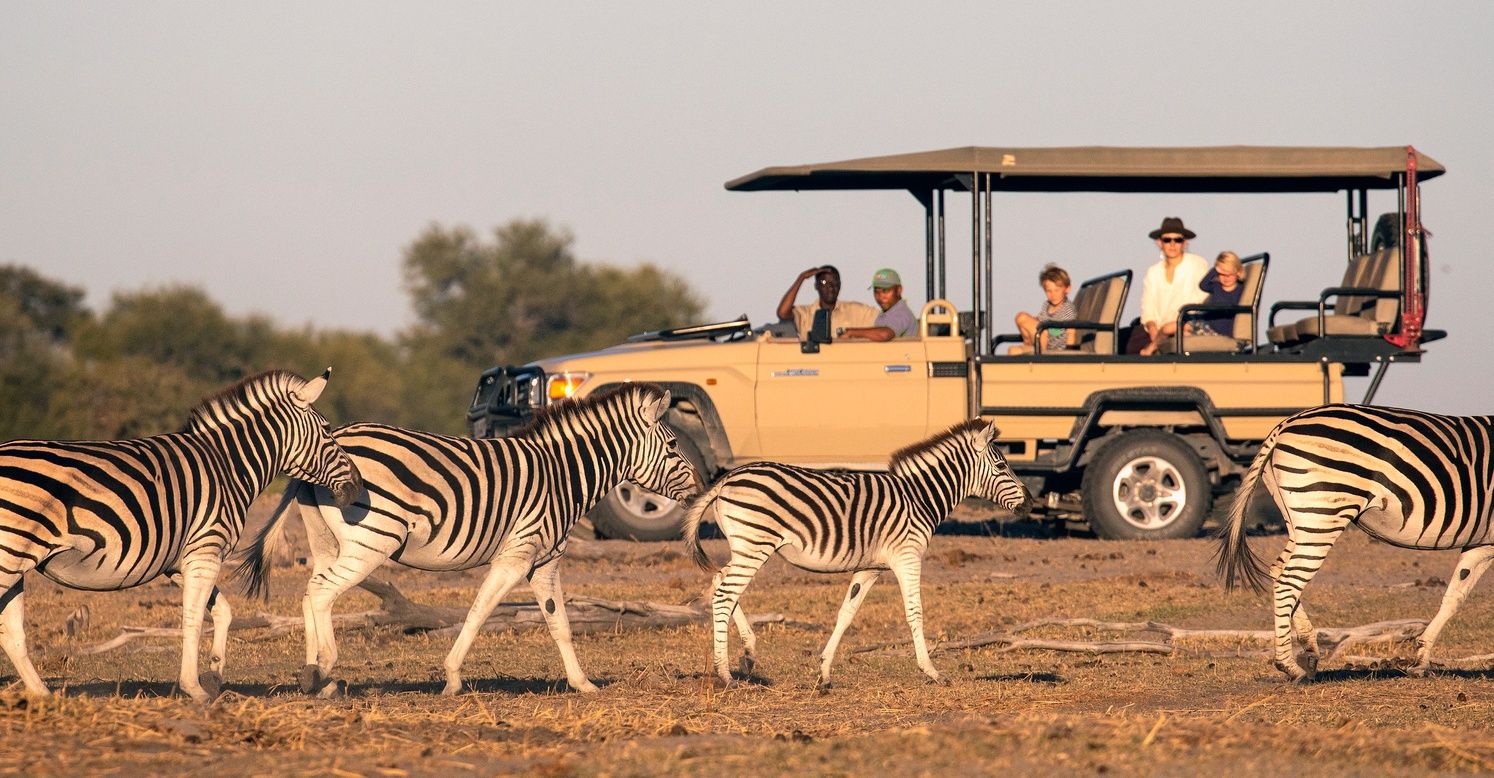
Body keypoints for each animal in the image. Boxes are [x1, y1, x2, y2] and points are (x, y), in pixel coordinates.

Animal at [0, 367, 361, 701]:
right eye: (327, 430)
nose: (357, 488)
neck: (227, 466)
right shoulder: (206, 550)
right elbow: (193, 620)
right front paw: (195, 689)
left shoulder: (182, 561)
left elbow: (222, 611)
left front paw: (214, 672)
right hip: (10, 556)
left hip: (15, 562)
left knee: (12, 633)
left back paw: (41, 694)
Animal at [233, 385, 699, 695]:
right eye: (674, 444)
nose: (699, 490)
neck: (561, 474)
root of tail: (331, 442)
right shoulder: (518, 554)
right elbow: (479, 613)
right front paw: (454, 678)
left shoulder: (544, 561)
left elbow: (560, 624)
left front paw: (582, 683)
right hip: (373, 538)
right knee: (322, 592)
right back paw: (324, 667)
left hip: (327, 542)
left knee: (311, 590)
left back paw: (315, 676)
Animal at [684, 418, 1027, 686]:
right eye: (1001, 466)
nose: (1030, 502)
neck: (919, 497)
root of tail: (726, 479)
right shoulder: (907, 557)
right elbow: (915, 612)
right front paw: (931, 670)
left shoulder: (870, 568)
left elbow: (846, 614)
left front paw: (824, 672)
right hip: (755, 544)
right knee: (725, 594)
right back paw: (725, 674)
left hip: (744, 546)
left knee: (719, 581)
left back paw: (749, 653)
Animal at [1213, 403, 1494, 674]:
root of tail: (1284, 425)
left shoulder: (1481, 543)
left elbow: (1455, 596)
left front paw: (1421, 659)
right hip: (1324, 513)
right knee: (1289, 579)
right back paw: (1289, 666)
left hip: (1301, 519)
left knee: (1278, 569)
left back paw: (1309, 649)